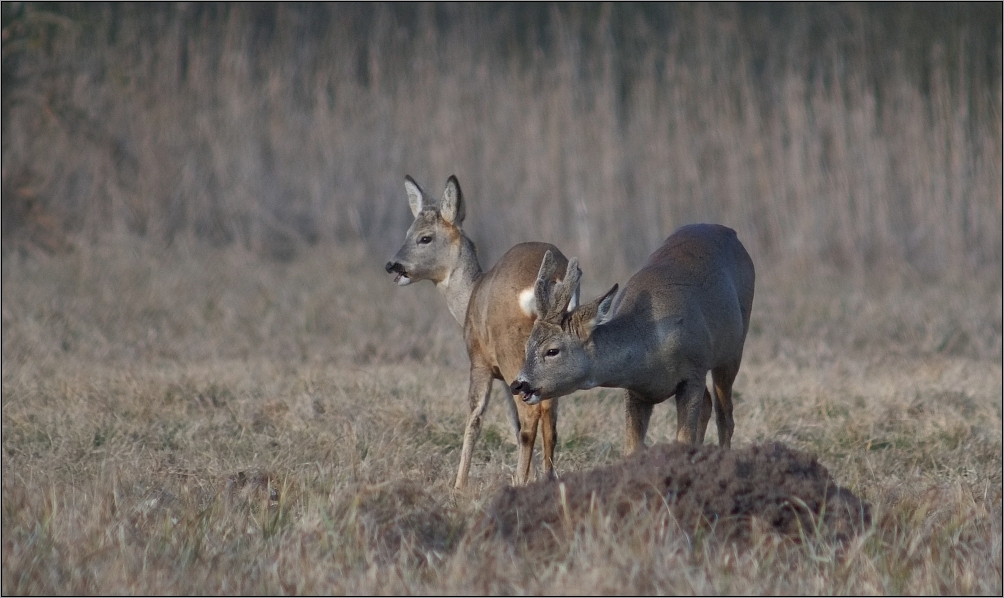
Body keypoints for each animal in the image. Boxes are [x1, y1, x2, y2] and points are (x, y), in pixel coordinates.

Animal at [383, 173, 578, 489]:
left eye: (424, 237)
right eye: (407, 232)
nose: (392, 265)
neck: (469, 296)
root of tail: (552, 278)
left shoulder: (480, 362)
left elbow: (474, 417)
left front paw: (459, 485)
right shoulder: (510, 378)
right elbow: (513, 421)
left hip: (512, 350)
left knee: (531, 413)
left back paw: (517, 480)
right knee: (548, 413)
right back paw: (546, 477)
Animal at [510, 224, 755, 453]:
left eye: (552, 350)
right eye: (527, 346)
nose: (519, 384)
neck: (651, 346)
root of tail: (731, 232)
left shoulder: (693, 371)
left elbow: (683, 438)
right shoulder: (635, 390)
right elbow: (632, 447)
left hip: (732, 350)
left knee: (725, 415)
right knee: (708, 405)